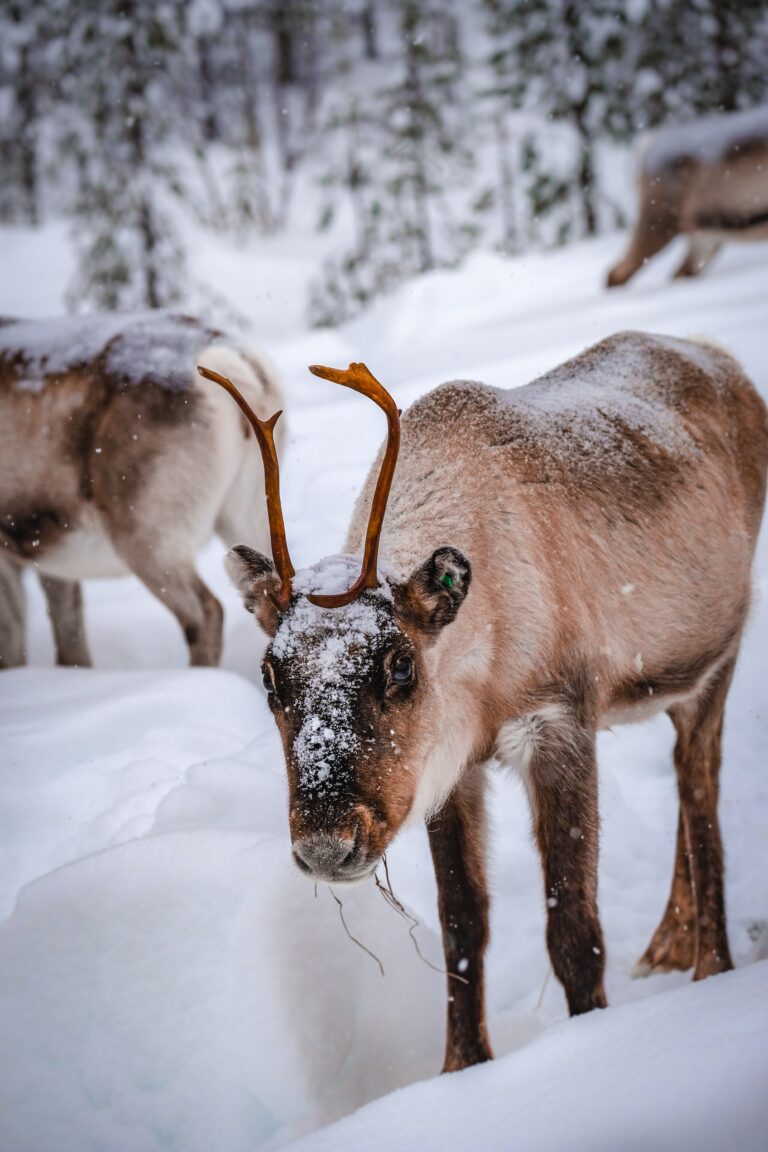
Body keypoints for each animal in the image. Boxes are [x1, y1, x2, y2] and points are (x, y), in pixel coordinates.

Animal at [0, 311, 281, 669]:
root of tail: (235, 361)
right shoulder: (49, 559)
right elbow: (68, 636)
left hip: (146, 532)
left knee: (205, 612)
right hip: (248, 511)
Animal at [200, 330, 767, 1073]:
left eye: (400, 665)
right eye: (271, 676)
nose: (327, 844)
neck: (484, 670)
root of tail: (721, 359)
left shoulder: (559, 723)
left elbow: (574, 930)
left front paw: (593, 1035)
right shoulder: (450, 767)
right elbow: (461, 927)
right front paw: (461, 1066)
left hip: (717, 659)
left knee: (699, 791)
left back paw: (709, 965)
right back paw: (667, 946)